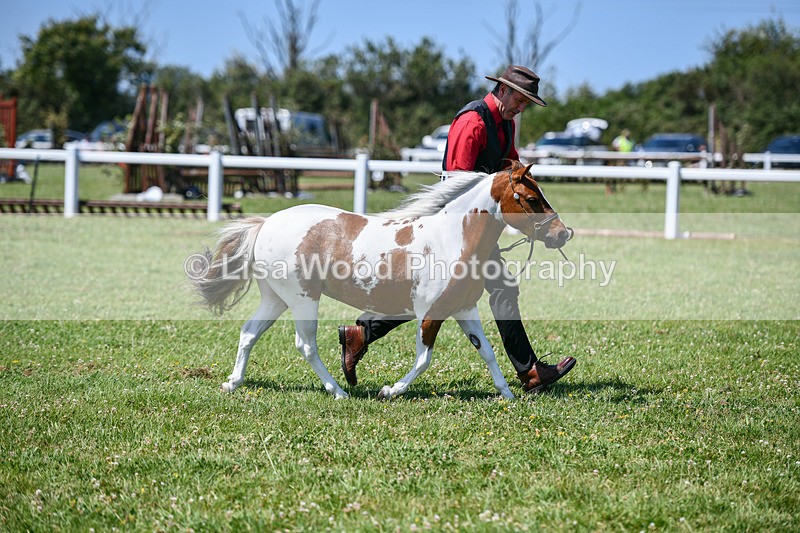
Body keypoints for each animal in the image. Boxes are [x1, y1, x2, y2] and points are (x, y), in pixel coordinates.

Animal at [189, 161, 571, 400]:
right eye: (532, 198)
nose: (563, 233)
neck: (452, 237)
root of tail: (265, 224)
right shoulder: (429, 314)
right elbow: (424, 359)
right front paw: (391, 390)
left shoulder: (464, 309)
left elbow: (488, 352)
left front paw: (507, 393)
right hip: (302, 299)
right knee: (305, 345)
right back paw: (339, 391)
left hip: (276, 298)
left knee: (249, 333)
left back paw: (233, 383)